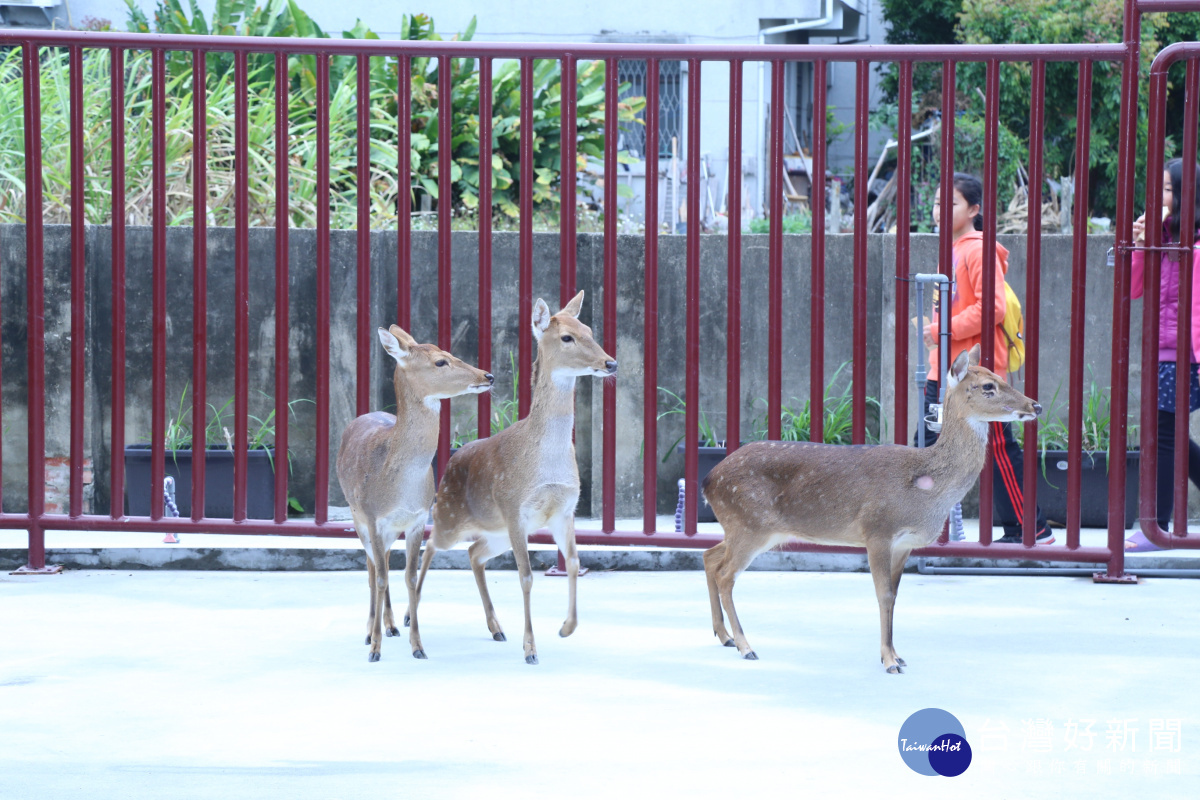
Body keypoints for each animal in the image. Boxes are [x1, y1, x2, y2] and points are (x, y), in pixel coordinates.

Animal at [333, 326, 492, 662]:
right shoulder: (373, 517)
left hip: (390, 528)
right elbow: (380, 576)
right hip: (356, 515)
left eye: (451, 352)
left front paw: (417, 645)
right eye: (440, 361)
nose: (488, 375)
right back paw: (370, 630)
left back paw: (391, 625)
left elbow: (410, 576)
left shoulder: (418, 519)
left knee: (382, 562)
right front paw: (375, 648)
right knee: (371, 568)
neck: (399, 486)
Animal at [410, 291, 619, 666]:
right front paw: (531, 650)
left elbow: (574, 563)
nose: (610, 363)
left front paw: (566, 628)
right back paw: (410, 616)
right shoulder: (515, 507)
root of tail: (450, 461)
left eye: (590, 330)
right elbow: (526, 577)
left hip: (496, 532)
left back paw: (496, 628)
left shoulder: (563, 510)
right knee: (431, 544)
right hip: (450, 515)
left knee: (474, 553)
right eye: (567, 337)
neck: (546, 461)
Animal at [700, 347, 1041, 671]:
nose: (1035, 406)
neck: (927, 489)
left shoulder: (904, 544)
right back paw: (746, 646)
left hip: (746, 528)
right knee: (726, 574)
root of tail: (708, 480)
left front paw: (897, 656)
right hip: (750, 524)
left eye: (1000, 376)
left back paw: (725, 636)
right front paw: (890, 661)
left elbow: (895, 594)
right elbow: (884, 594)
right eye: (988, 386)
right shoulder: (878, 530)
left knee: (710, 556)